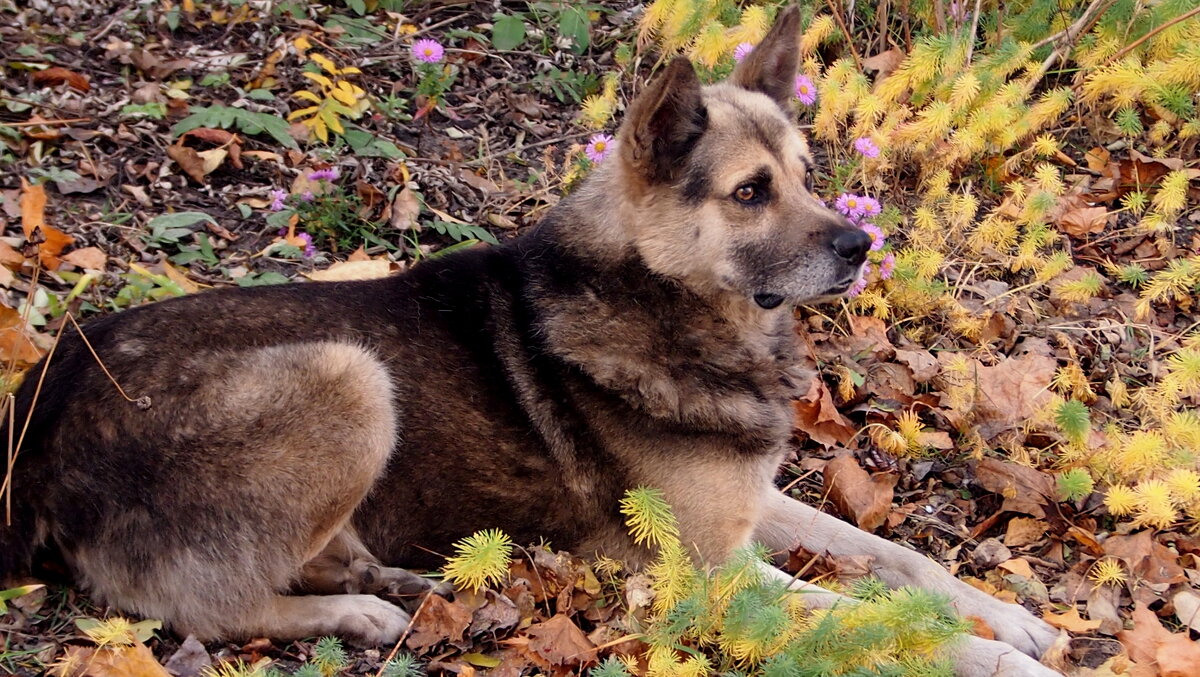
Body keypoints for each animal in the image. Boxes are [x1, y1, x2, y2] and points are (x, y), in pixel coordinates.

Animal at [2, 7, 1060, 672]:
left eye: (808, 173)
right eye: (751, 192)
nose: (860, 246)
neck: (659, 296)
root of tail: (33, 428)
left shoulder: (748, 506)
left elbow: (903, 563)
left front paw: (1014, 617)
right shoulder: (704, 571)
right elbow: (865, 615)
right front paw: (990, 653)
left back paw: (380, 571)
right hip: (350, 376)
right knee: (208, 607)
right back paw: (356, 608)